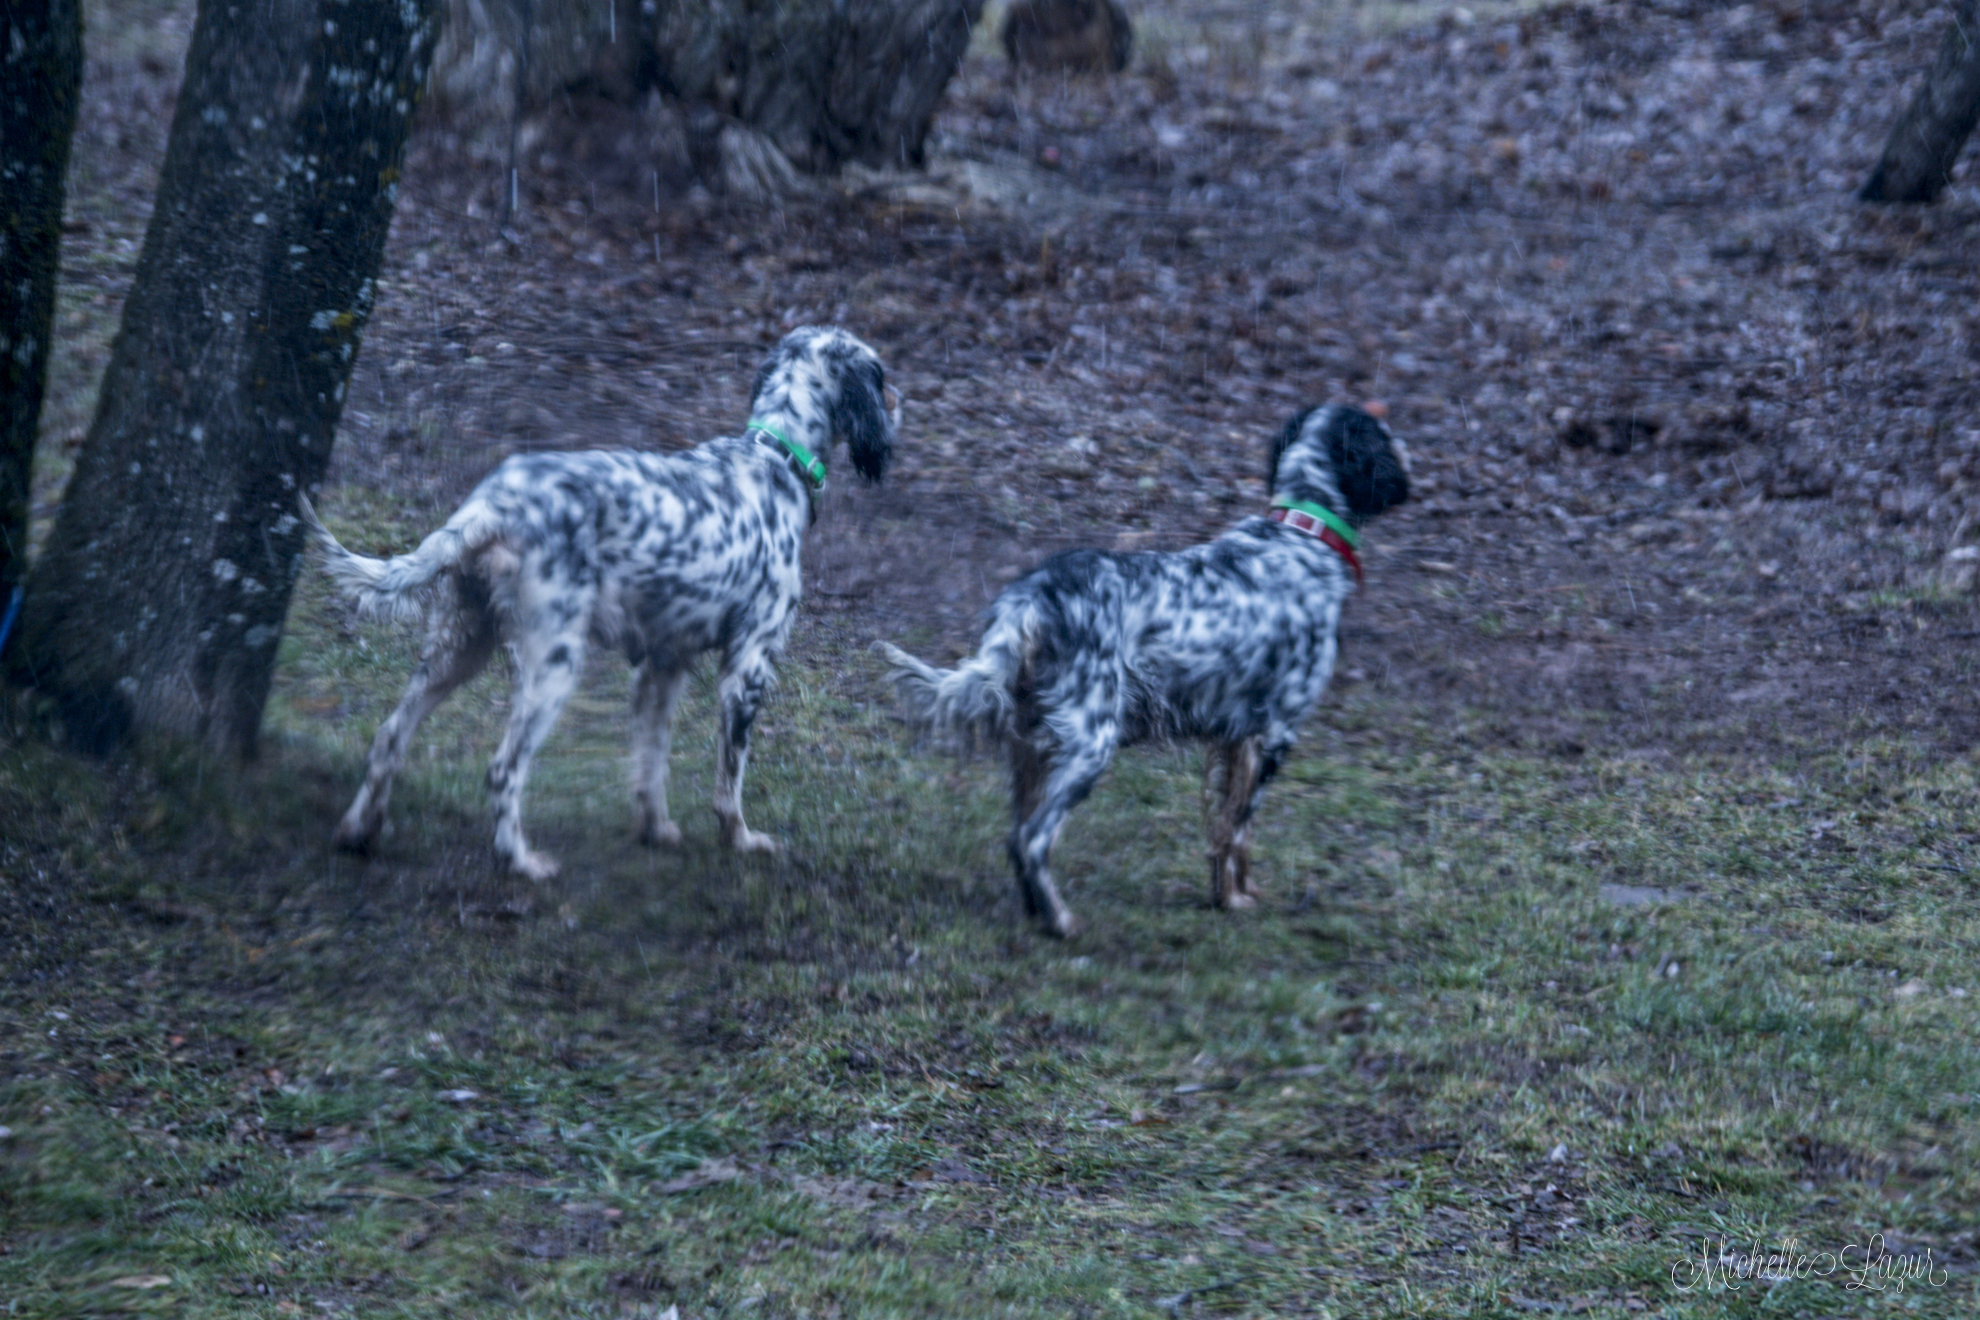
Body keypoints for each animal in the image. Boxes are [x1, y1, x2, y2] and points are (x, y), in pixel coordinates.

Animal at [302, 322, 898, 878]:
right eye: (880, 374)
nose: (900, 399)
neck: (775, 457)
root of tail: (491, 506)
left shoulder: (664, 664)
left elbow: (651, 764)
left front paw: (656, 829)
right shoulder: (747, 669)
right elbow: (729, 782)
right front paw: (743, 841)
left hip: (459, 649)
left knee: (388, 738)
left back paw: (358, 832)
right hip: (554, 665)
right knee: (502, 769)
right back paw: (521, 860)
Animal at [883, 407, 1409, 934]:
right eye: (1383, 434)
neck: (1302, 531)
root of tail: (1032, 599)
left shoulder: (1237, 739)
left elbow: (1229, 831)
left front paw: (1235, 893)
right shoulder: (1275, 734)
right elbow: (1238, 828)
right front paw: (1234, 902)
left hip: (1031, 743)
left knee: (1016, 834)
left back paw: (1036, 911)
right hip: (1090, 743)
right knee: (1032, 839)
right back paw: (1062, 922)